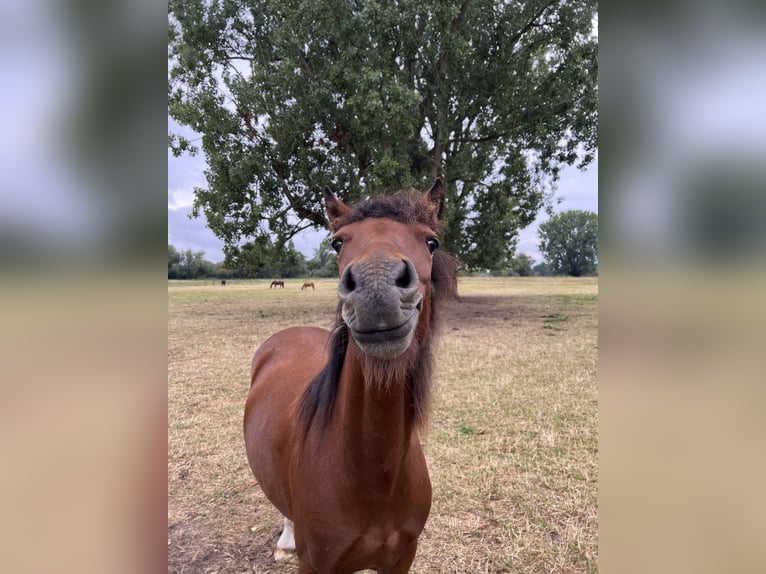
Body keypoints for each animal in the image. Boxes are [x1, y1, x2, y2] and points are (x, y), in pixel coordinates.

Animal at [244, 180, 457, 573]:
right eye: (338, 242)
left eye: (431, 241)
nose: (376, 285)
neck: (375, 479)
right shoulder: (317, 564)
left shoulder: (402, 558)